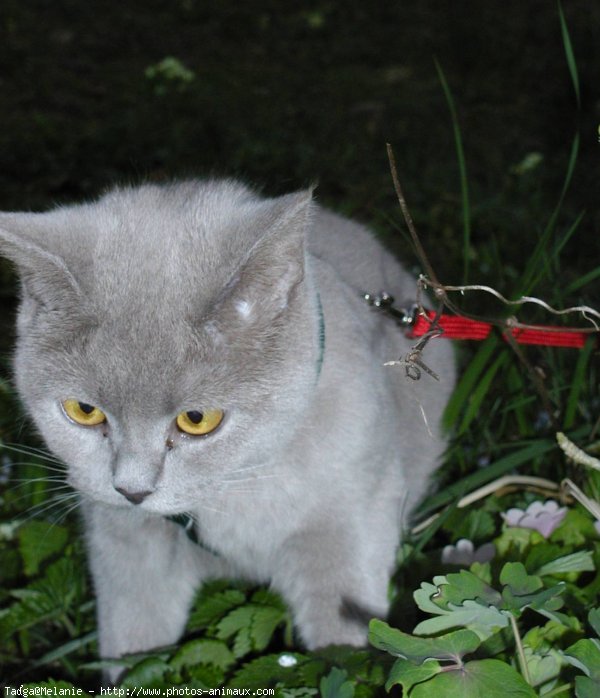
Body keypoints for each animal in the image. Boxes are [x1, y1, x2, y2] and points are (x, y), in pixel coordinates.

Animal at [0, 179, 452, 680]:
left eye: (197, 420)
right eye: (84, 410)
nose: (132, 490)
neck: (236, 487)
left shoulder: (350, 518)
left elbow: (346, 640)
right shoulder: (126, 544)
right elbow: (133, 641)